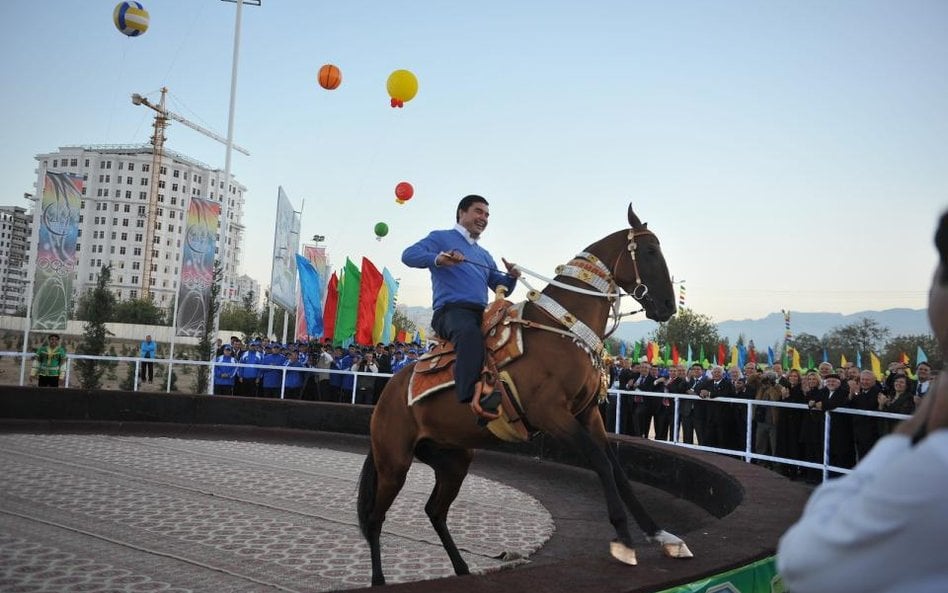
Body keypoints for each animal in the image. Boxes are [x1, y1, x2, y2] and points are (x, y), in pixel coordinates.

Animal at [356, 204, 688, 584]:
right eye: (648, 251)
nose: (667, 306)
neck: (560, 329)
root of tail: (389, 393)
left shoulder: (588, 414)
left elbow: (618, 469)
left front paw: (662, 535)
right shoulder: (552, 415)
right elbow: (601, 462)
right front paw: (623, 539)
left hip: (453, 459)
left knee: (435, 511)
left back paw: (462, 568)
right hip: (394, 462)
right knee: (375, 518)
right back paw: (379, 580)